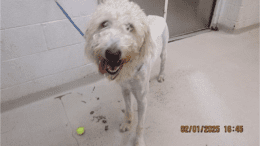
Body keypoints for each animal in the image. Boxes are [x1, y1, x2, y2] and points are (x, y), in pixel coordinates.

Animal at [85, 0, 169, 145]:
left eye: (130, 27)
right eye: (104, 24)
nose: (112, 54)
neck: (130, 69)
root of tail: (159, 16)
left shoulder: (142, 101)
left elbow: (140, 125)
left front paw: (139, 141)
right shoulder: (125, 90)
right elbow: (128, 109)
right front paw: (127, 123)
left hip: (163, 51)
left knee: (163, 63)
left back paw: (161, 75)